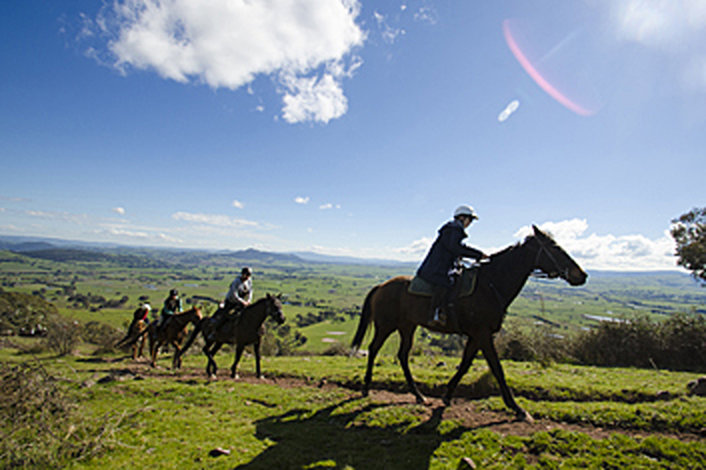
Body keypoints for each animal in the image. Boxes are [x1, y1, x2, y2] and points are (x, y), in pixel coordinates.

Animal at [350, 226, 584, 420]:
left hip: (407, 327)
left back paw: (418, 395)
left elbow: (465, 365)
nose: (582, 275)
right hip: (386, 326)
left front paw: (447, 394)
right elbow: (497, 368)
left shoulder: (476, 336)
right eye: (555, 248)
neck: (491, 284)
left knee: (402, 355)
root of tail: (381, 286)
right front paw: (516, 407)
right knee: (373, 349)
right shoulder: (483, 335)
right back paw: (366, 388)